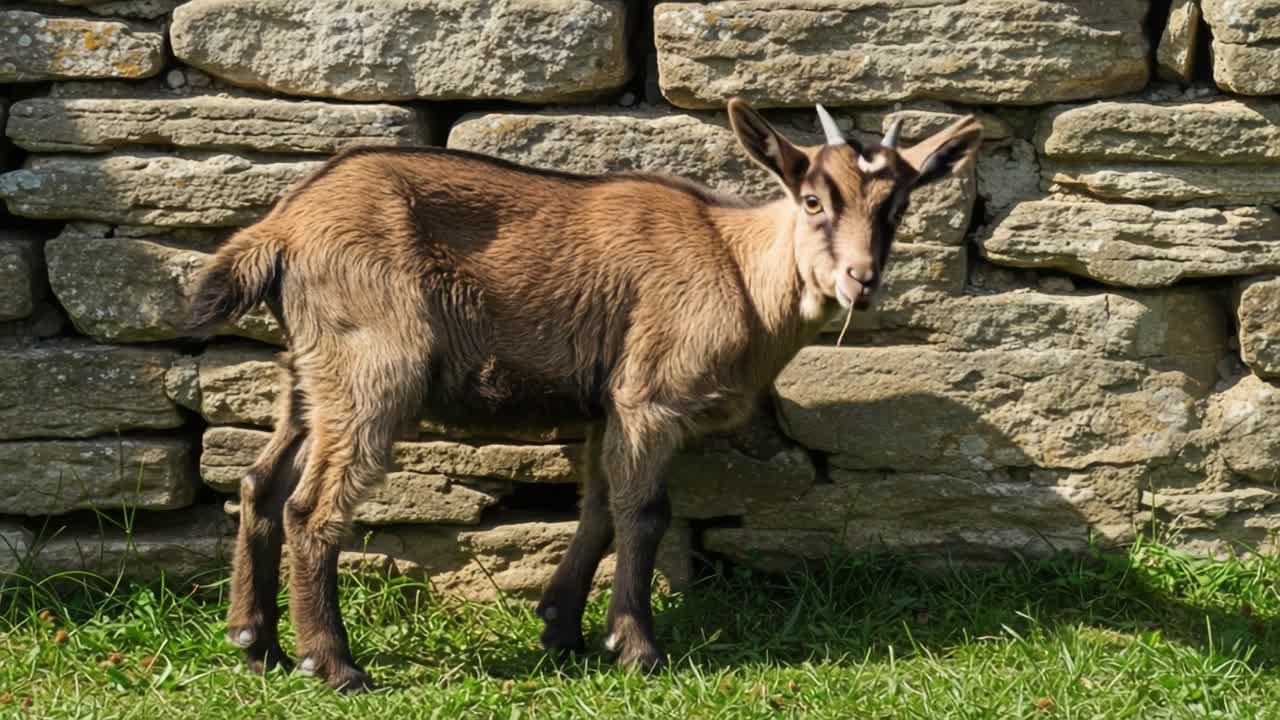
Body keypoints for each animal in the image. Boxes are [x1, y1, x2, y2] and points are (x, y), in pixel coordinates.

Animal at [182, 98, 982, 691]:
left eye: (897, 208)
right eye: (813, 199)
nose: (860, 280)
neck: (737, 264)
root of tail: (281, 230)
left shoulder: (607, 403)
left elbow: (597, 510)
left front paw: (559, 627)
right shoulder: (651, 393)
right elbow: (644, 513)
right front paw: (636, 646)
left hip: (309, 372)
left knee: (258, 482)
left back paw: (255, 642)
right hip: (372, 364)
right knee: (312, 507)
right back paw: (335, 664)